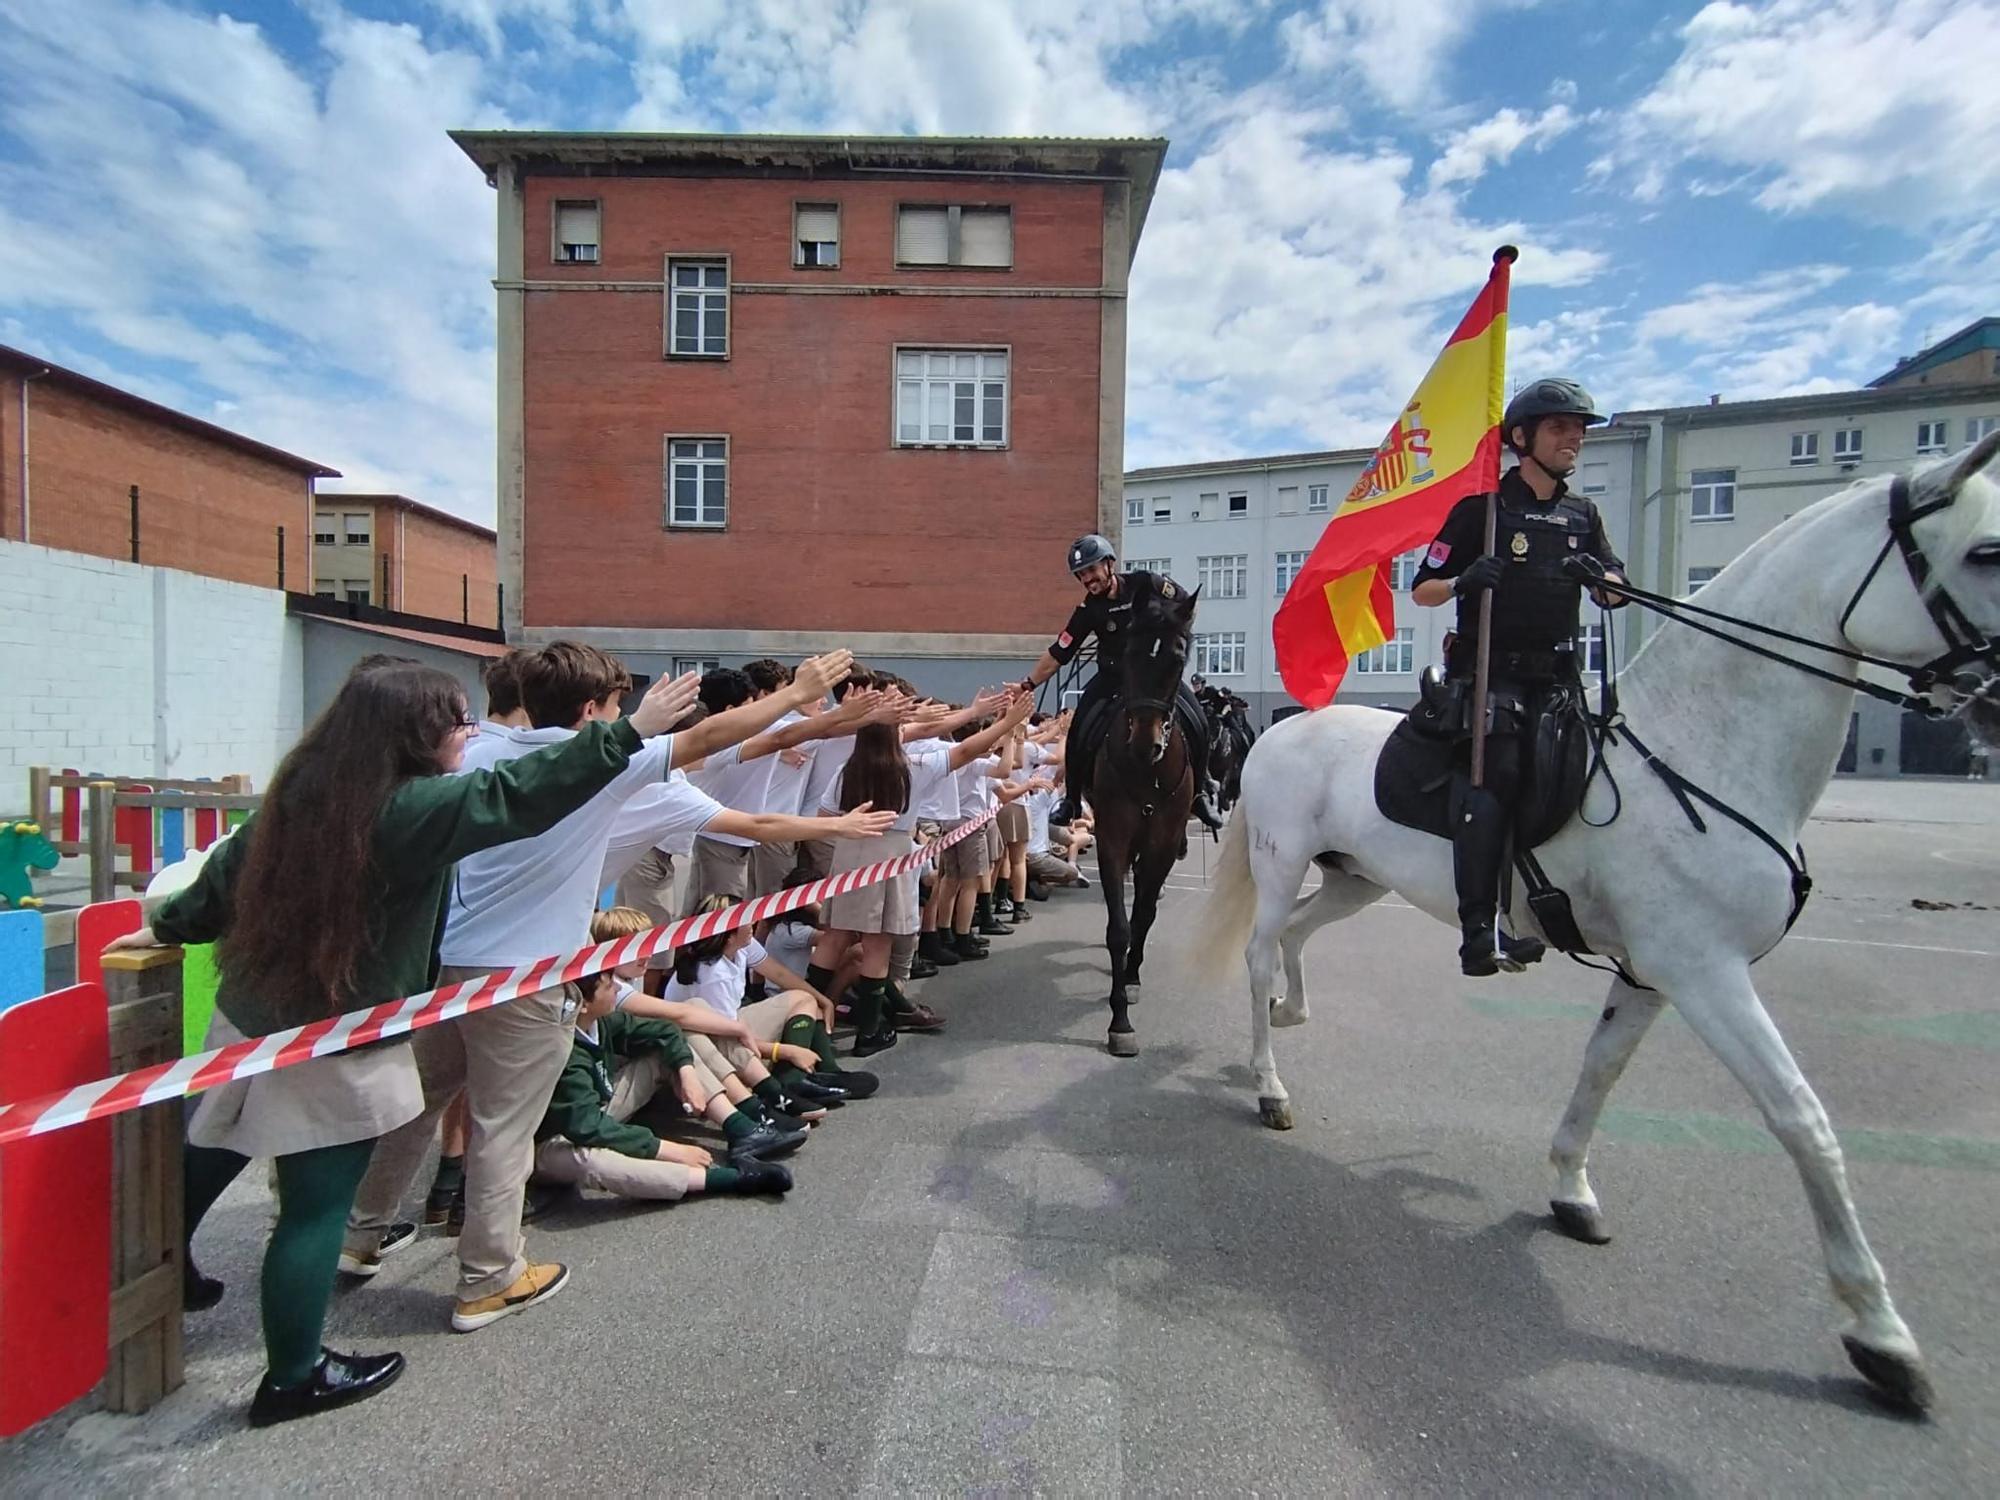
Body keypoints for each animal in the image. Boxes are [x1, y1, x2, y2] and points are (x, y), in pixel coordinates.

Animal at [1192, 432, 2000, 1408]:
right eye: (1989, 552)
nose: (1997, 701)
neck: (1697, 752)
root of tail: (1279, 729)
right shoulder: (1705, 970)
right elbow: (1801, 1118)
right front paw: (1880, 1333)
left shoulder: (1655, 970)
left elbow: (1602, 1069)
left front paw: (1571, 1187)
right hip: (1281, 868)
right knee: (1262, 952)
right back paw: (1269, 1081)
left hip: (1361, 880)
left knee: (1301, 936)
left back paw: (1292, 1014)